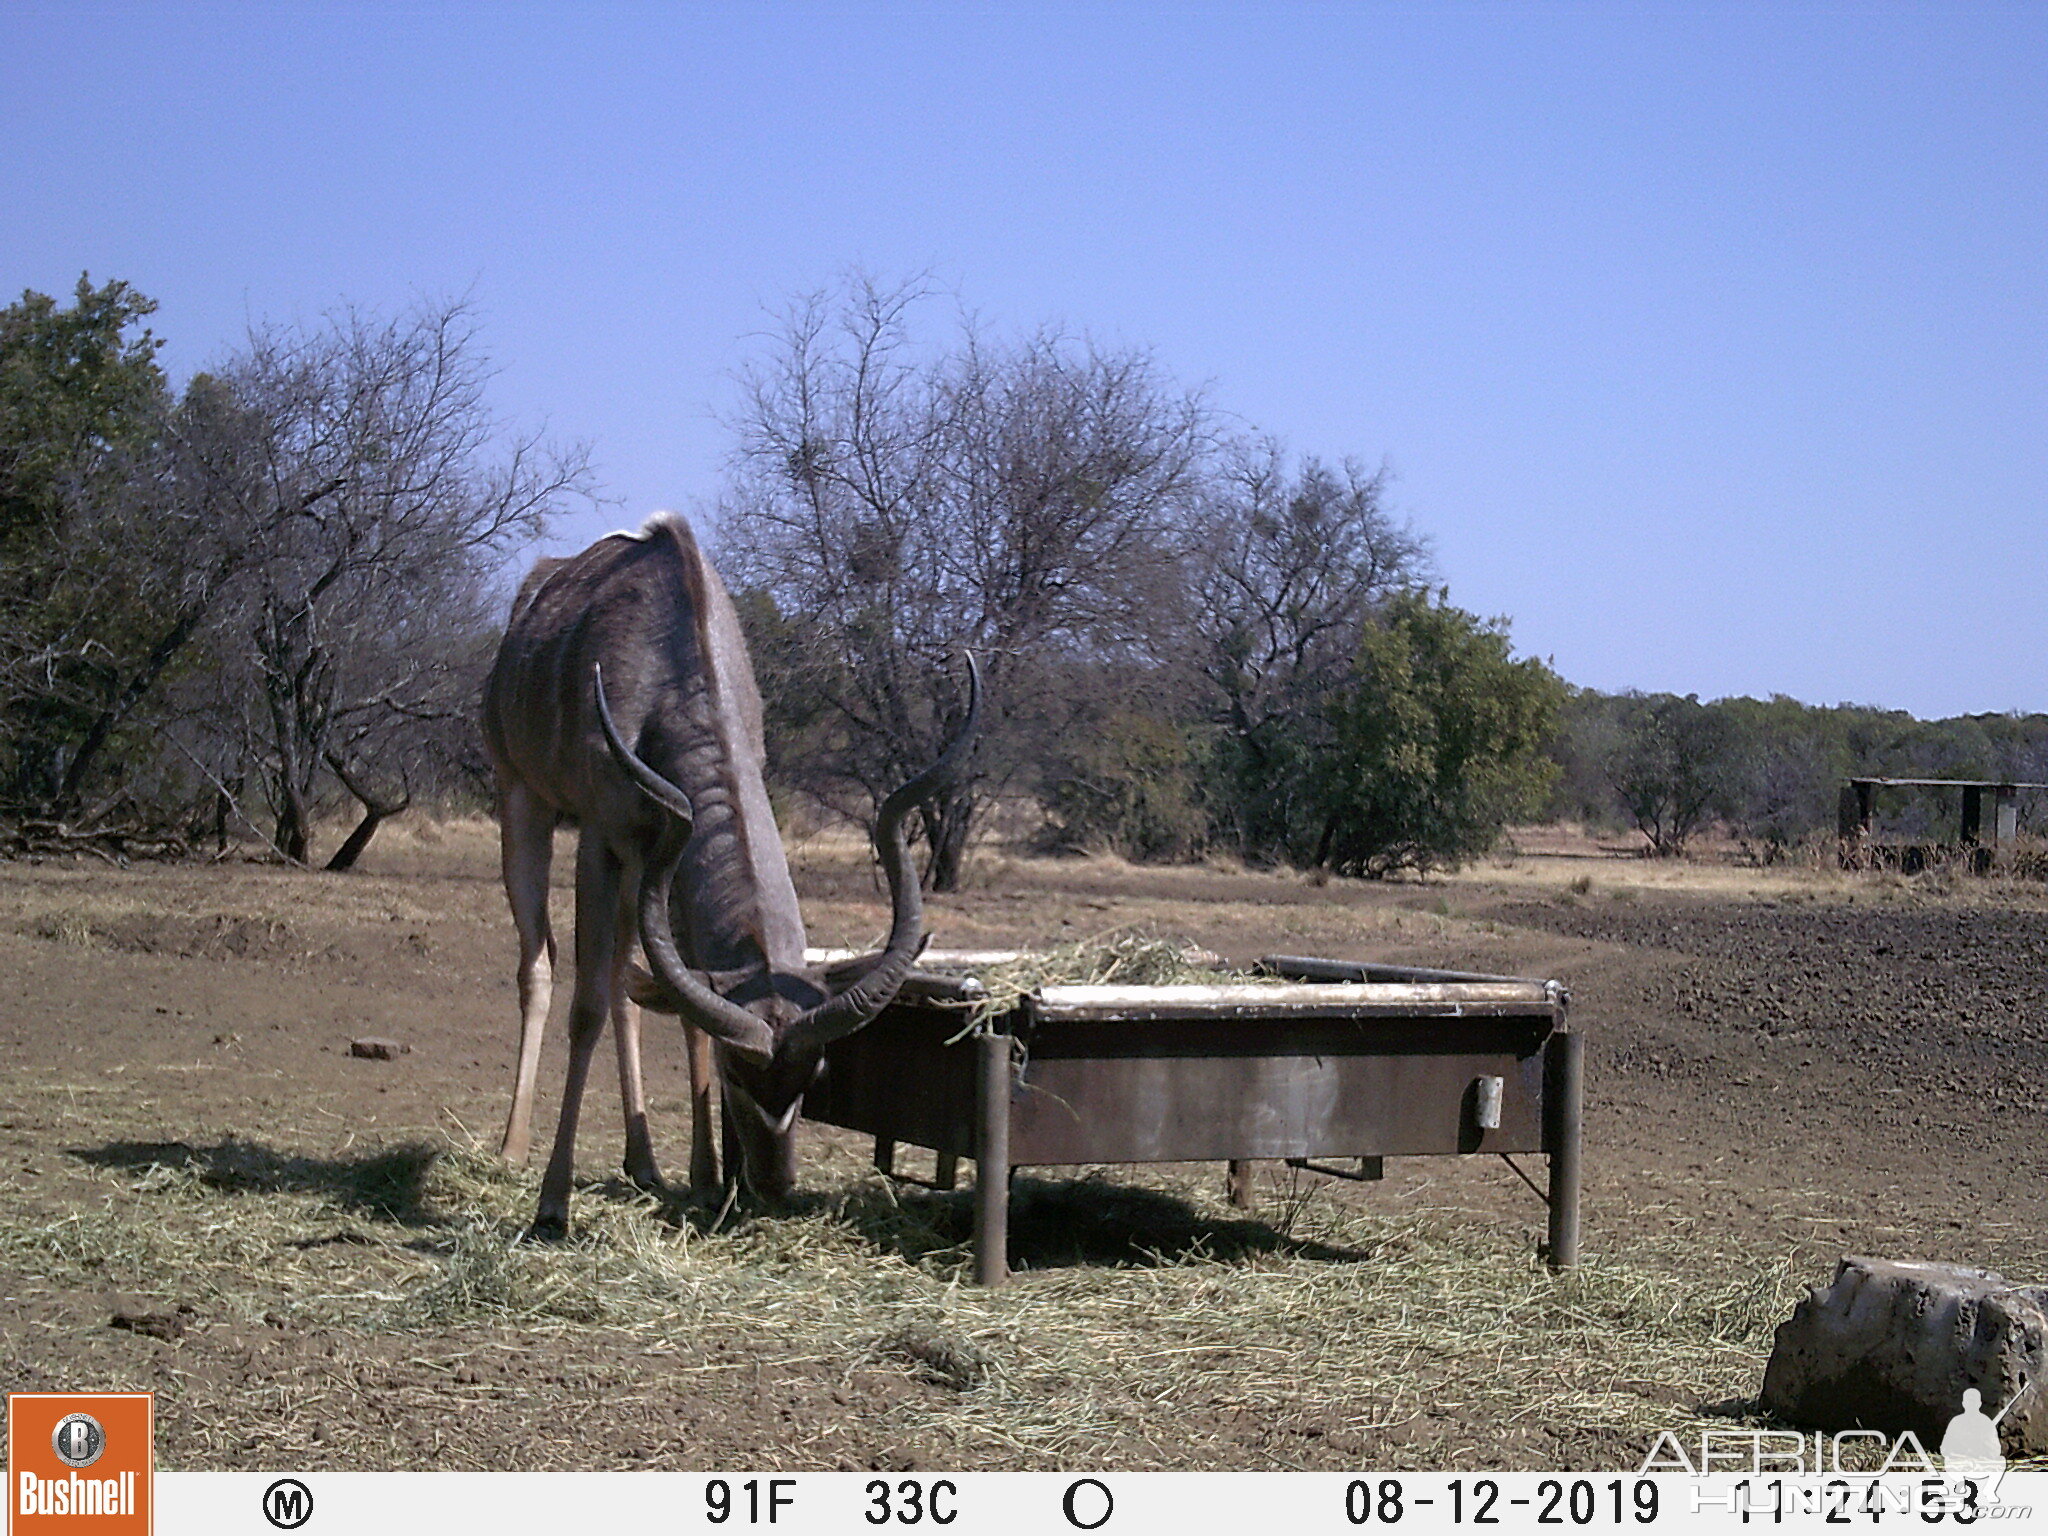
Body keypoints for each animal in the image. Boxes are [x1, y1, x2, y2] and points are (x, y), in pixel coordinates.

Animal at [487, 518, 983, 1236]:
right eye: (737, 1073)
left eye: (816, 1071)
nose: (774, 1183)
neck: (669, 673)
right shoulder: (602, 841)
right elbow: (587, 1009)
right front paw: (553, 1205)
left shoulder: (662, 855)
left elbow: (683, 1011)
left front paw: (703, 1177)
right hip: (524, 802)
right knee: (542, 966)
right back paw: (512, 1148)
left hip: (637, 867)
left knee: (625, 986)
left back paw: (644, 1164)